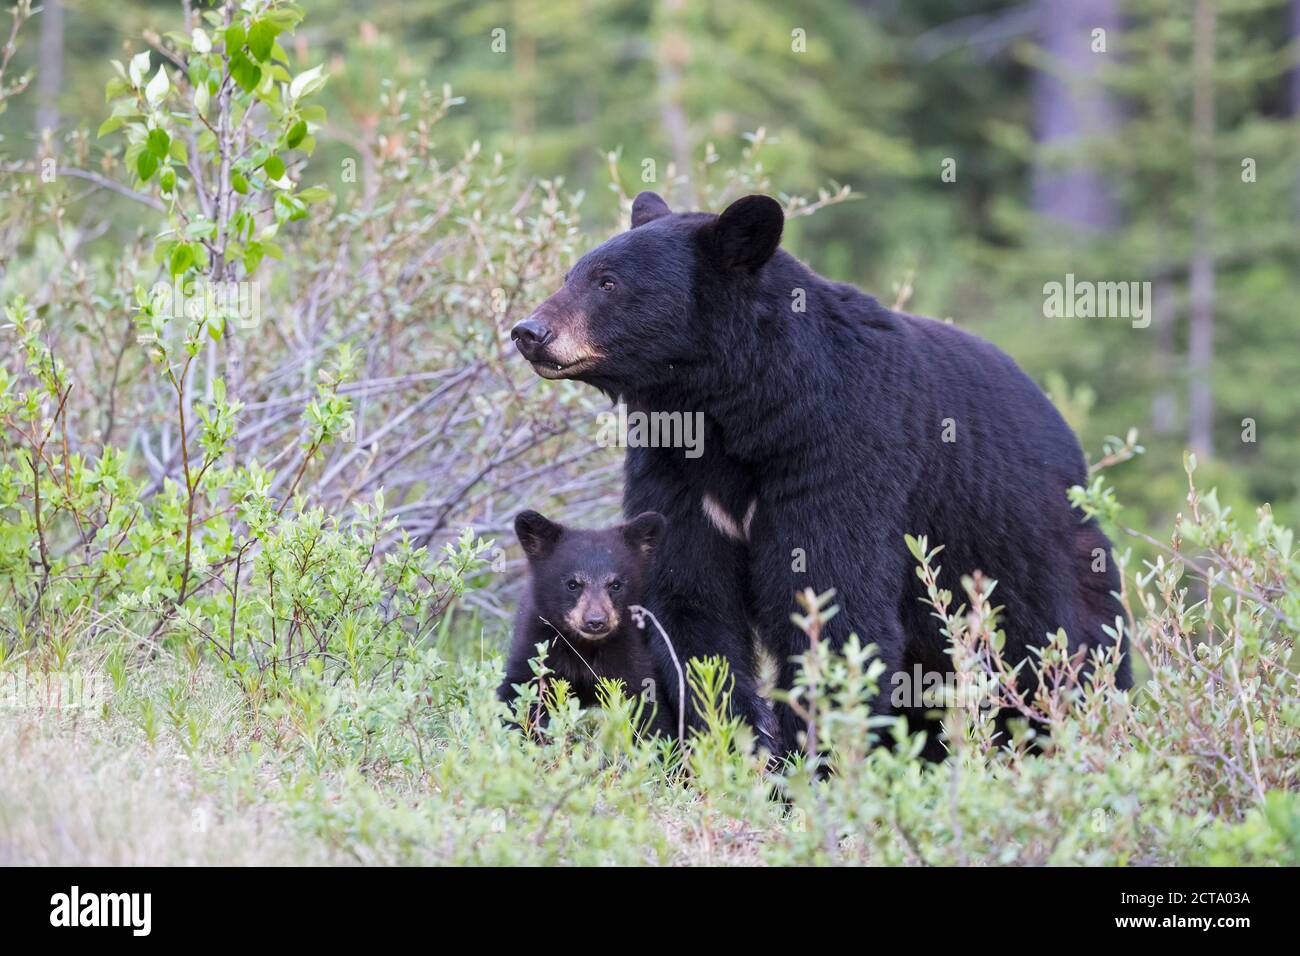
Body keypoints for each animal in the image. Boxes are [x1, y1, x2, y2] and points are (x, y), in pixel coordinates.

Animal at [506, 192, 1128, 764]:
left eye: (608, 282)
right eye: (571, 274)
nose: (528, 331)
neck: (736, 410)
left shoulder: (840, 455)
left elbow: (832, 603)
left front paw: (810, 767)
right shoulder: (677, 468)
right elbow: (690, 602)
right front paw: (723, 749)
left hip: (1031, 559)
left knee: (1061, 659)